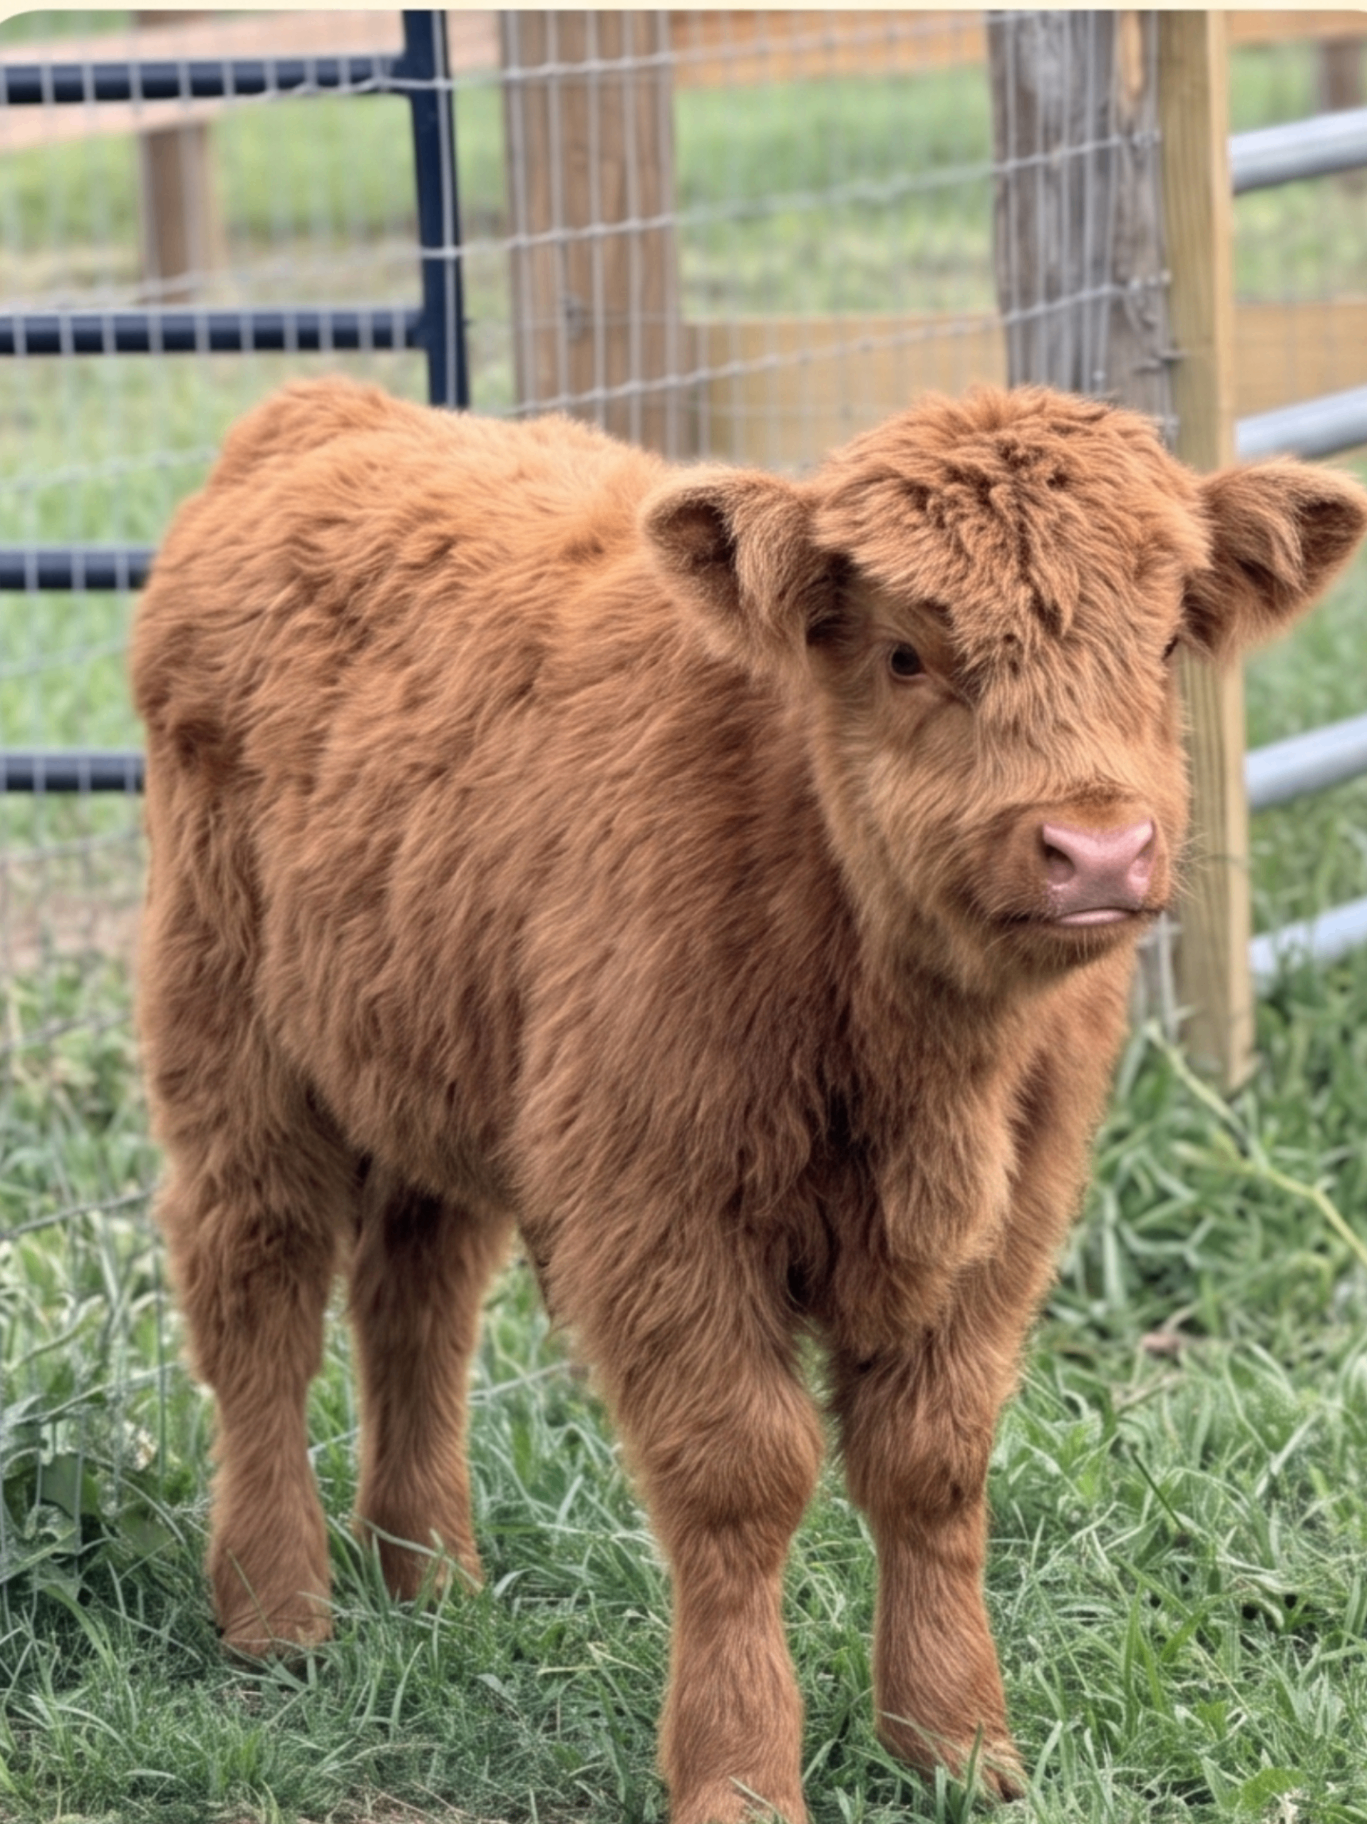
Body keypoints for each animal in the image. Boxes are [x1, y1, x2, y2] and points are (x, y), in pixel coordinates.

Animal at [131, 377, 1367, 1822]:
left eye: (1164, 638)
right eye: (902, 653)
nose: (1096, 849)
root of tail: (331, 405)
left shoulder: (1006, 1220)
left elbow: (931, 1464)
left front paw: (954, 1747)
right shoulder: (656, 1206)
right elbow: (739, 1478)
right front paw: (736, 1773)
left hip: (433, 1055)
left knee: (417, 1297)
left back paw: (432, 1580)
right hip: (233, 1039)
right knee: (258, 1289)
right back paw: (279, 1614)